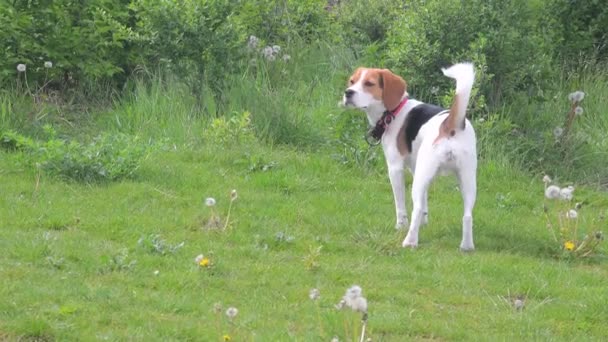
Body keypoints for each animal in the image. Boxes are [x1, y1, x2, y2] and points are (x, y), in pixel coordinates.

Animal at [342, 64, 476, 250]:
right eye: (352, 81)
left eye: (369, 83)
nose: (348, 93)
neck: (394, 111)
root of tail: (450, 124)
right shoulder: (416, 169)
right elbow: (425, 202)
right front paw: (424, 223)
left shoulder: (395, 168)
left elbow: (400, 204)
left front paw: (400, 226)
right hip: (466, 179)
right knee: (468, 215)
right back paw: (466, 246)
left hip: (422, 176)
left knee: (416, 208)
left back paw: (410, 241)